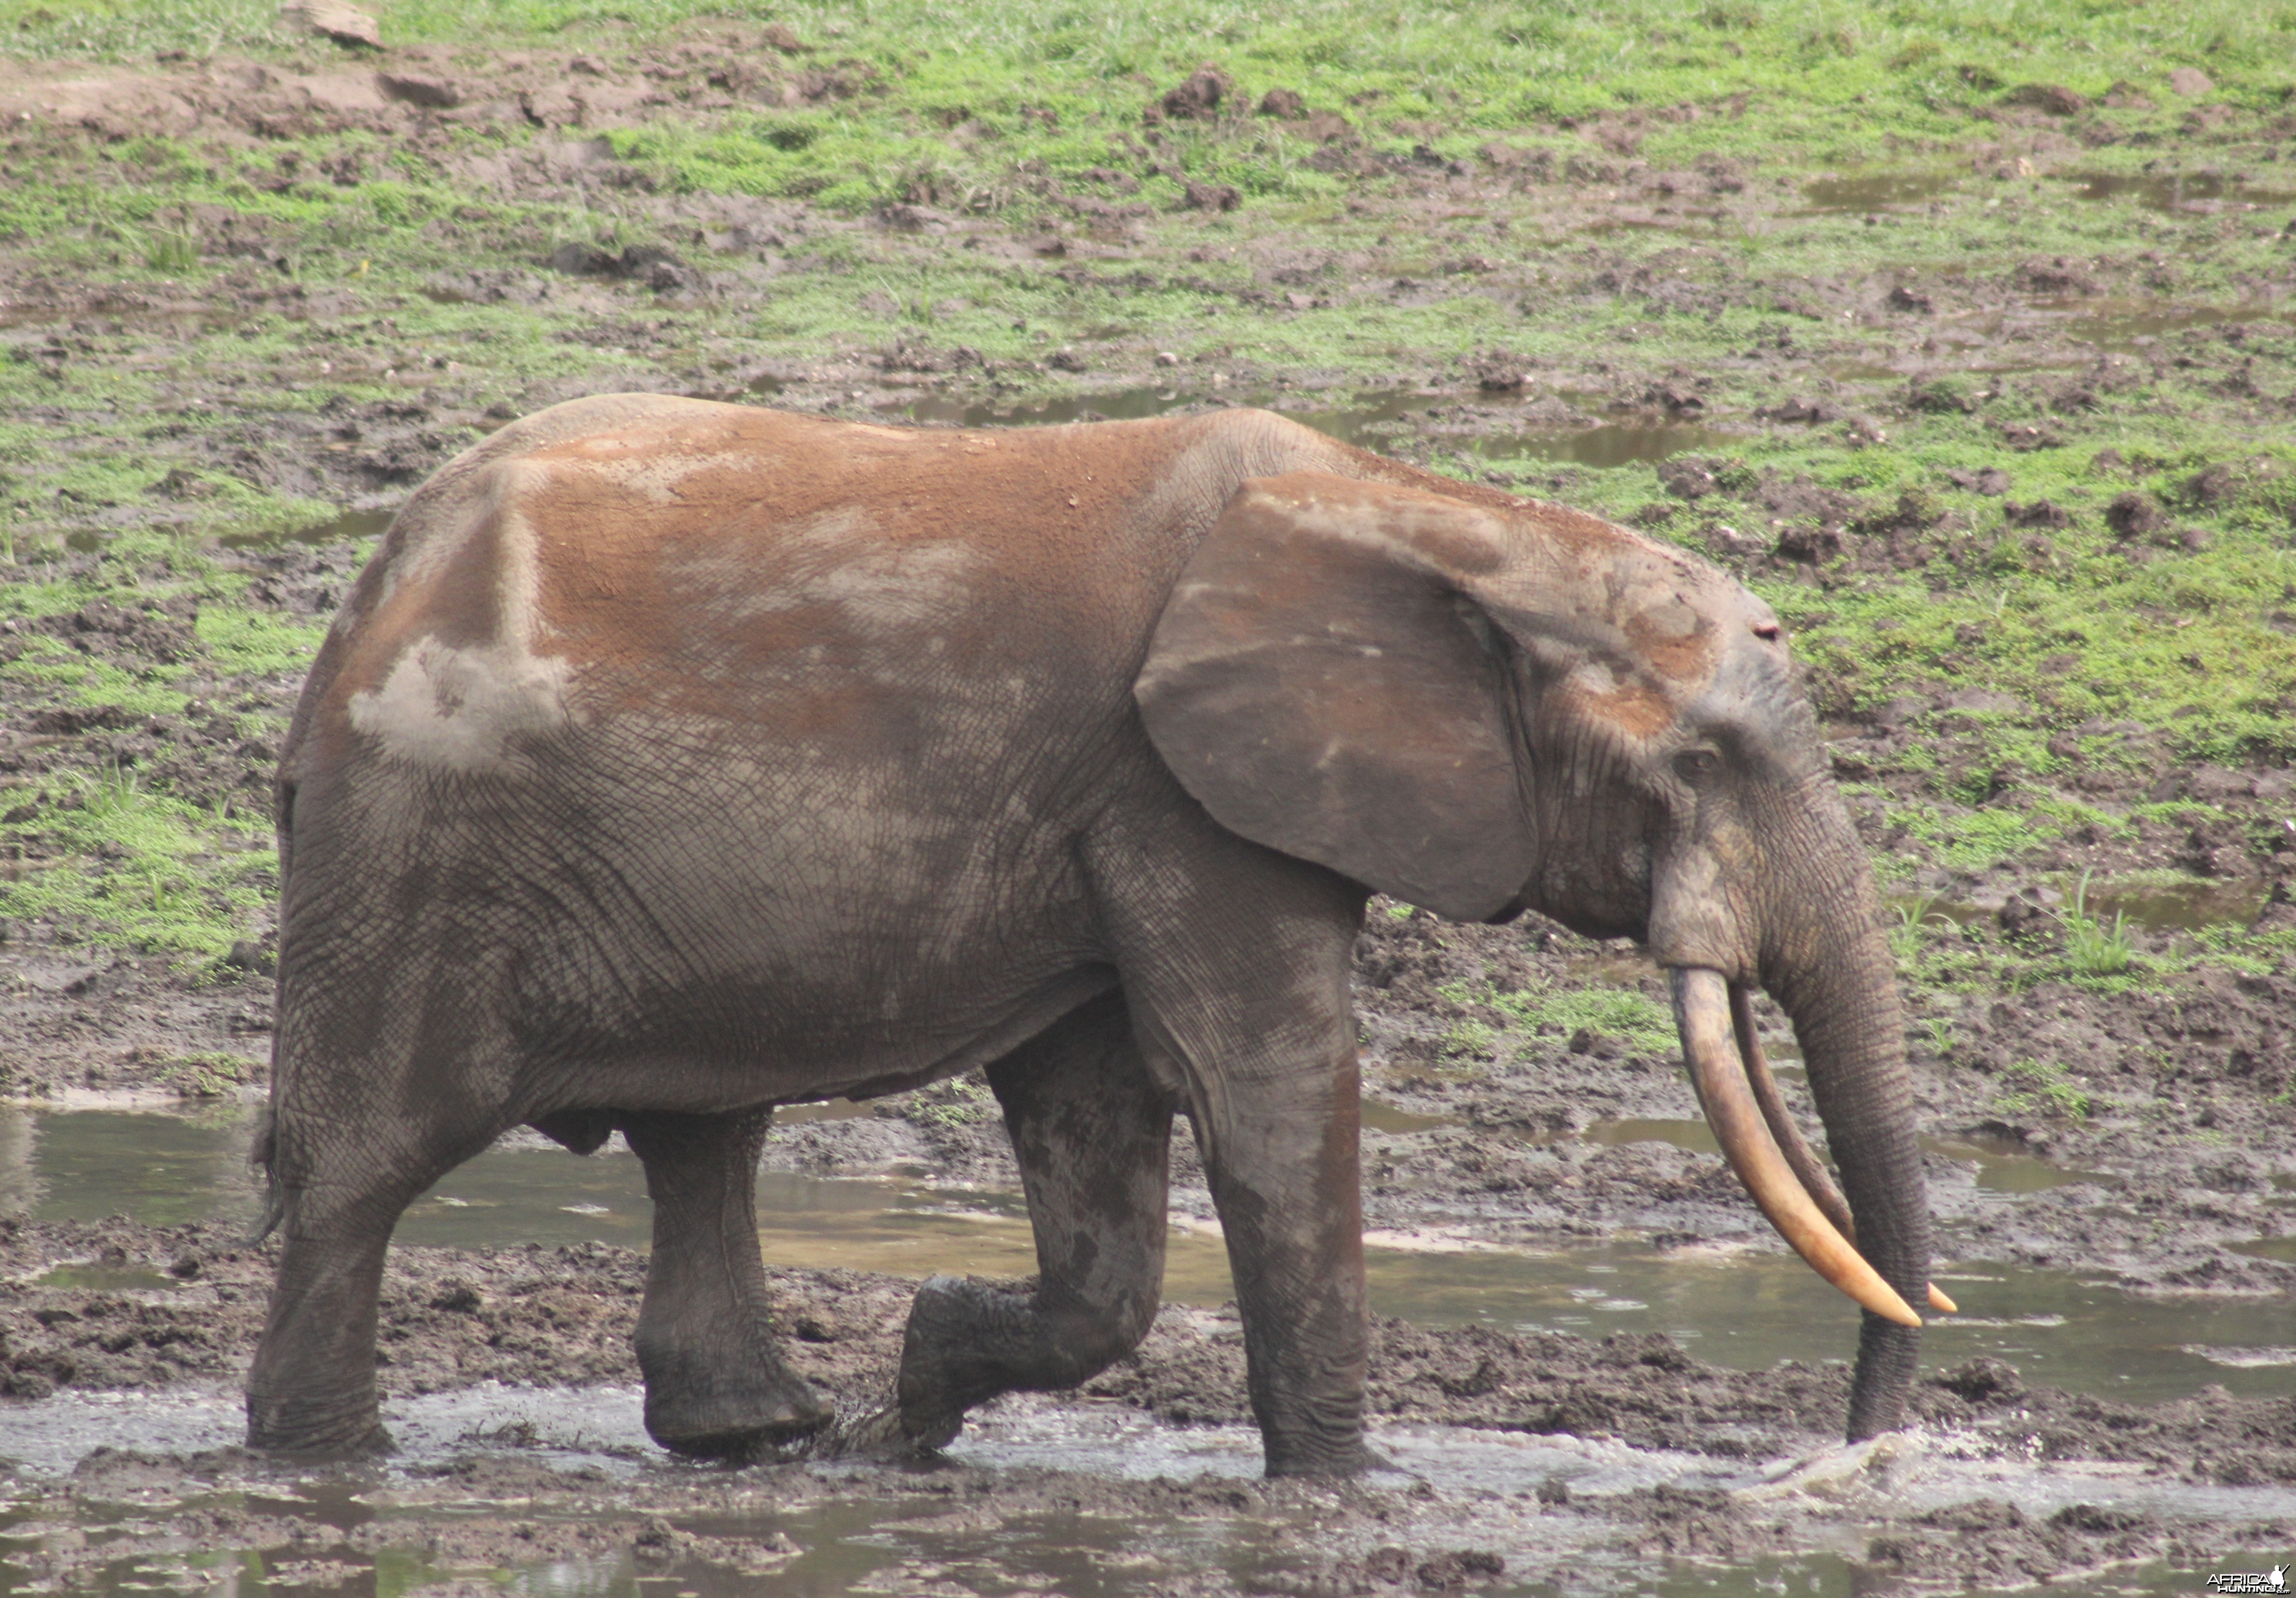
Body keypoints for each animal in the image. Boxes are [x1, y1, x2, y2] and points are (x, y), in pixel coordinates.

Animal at [251, 397, 1938, 1469]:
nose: (1851, 1458)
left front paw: (912, 1400)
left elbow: (1097, 1111)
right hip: (423, 836)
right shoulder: (1175, 787)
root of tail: (366, 592)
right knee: (365, 1165)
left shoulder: (1123, 803)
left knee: (701, 1135)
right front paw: (1343, 1492)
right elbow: (1260, 1079)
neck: (1449, 524)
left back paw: (764, 1440)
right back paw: (323, 1463)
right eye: (1700, 768)